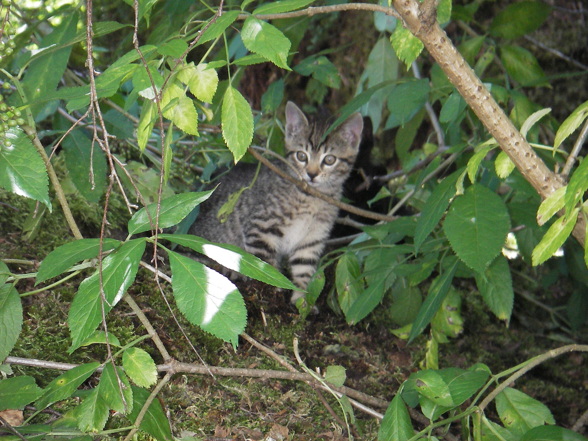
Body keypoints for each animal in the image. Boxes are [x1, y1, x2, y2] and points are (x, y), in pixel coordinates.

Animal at [191, 102, 362, 304]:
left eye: (329, 159)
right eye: (301, 156)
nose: (311, 174)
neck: (312, 197)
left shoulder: (312, 239)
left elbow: (304, 269)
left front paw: (301, 300)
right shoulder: (261, 227)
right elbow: (266, 267)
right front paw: (273, 292)